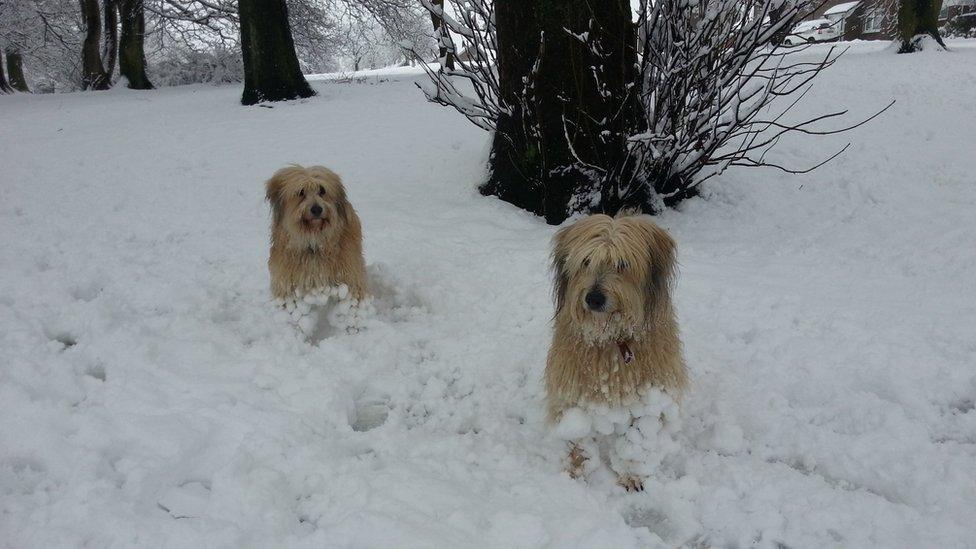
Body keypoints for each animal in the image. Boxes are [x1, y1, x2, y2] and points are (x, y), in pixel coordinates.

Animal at [264, 164, 368, 300]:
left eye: (322, 190)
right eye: (301, 192)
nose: (317, 209)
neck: (313, 242)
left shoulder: (349, 272)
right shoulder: (285, 279)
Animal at [544, 212, 692, 490]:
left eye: (622, 264)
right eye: (586, 261)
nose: (593, 298)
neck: (612, 338)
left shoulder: (650, 394)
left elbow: (638, 438)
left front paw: (633, 475)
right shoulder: (573, 388)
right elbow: (578, 434)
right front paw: (576, 473)